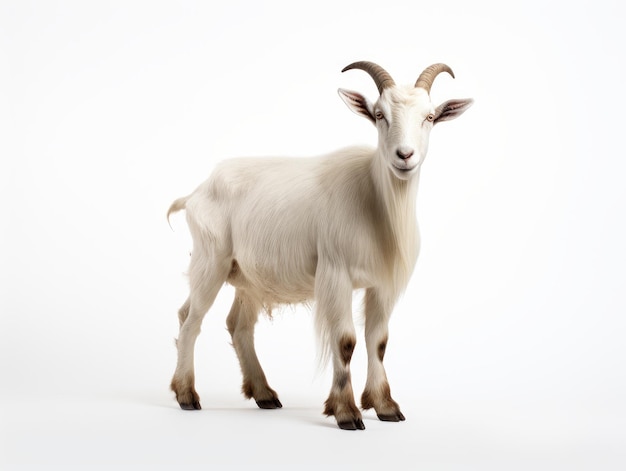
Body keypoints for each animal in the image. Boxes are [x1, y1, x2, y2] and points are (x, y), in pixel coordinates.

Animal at [168, 60, 470, 430]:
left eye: (430, 116)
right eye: (379, 114)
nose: (405, 155)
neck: (374, 202)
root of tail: (197, 192)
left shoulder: (382, 284)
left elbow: (378, 342)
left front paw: (385, 406)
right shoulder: (336, 273)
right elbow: (345, 342)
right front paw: (346, 412)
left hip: (248, 277)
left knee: (238, 325)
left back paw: (264, 393)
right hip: (210, 260)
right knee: (190, 318)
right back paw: (187, 395)